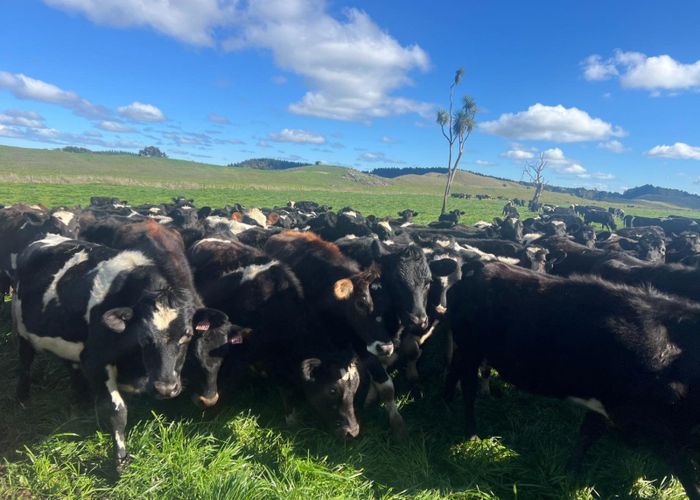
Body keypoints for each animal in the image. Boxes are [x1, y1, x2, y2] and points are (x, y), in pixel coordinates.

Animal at [447, 260, 700, 499]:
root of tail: (481, 266)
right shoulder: (652, 422)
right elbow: (684, 471)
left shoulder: (607, 402)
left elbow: (587, 434)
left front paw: (570, 474)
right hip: (471, 349)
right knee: (468, 387)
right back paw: (471, 433)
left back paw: (447, 397)